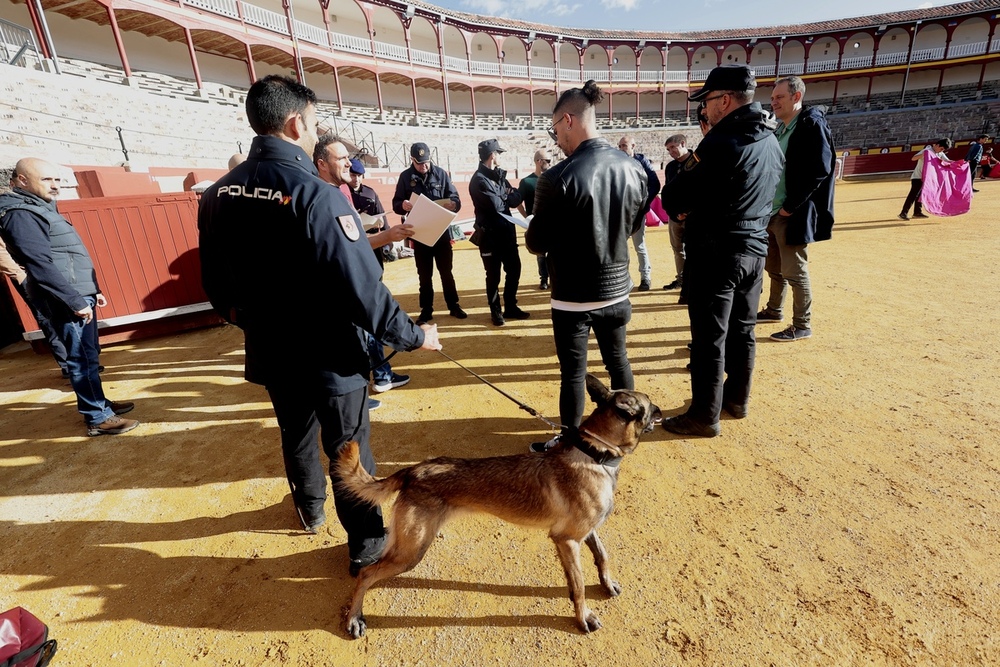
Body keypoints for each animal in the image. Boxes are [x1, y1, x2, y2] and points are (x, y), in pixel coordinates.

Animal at [338, 374, 664, 640]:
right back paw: (354, 617)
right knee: (366, 574)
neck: (595, 454)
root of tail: (412, 470)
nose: (661, 411)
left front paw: (607, 584)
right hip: (410, 552)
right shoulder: (567, 540)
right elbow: (580, 585)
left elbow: (602, 557)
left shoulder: (586, 532)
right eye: (649, 403)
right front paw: (583, 617)